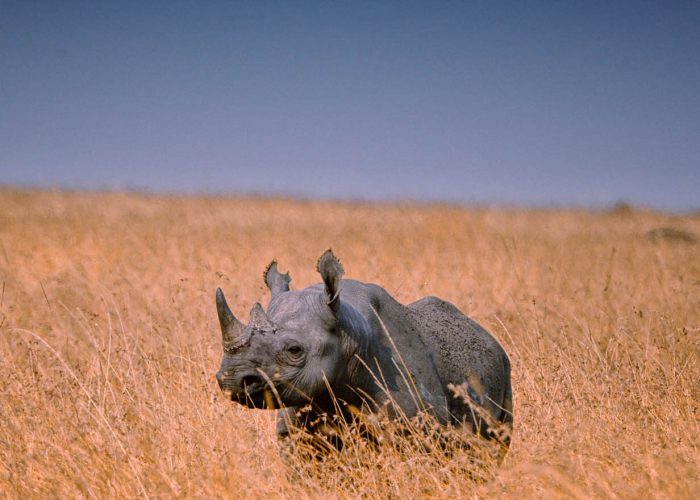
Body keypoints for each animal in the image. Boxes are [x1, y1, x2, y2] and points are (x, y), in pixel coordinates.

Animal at [215, 250, 513, 451]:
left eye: (294, 350)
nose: (231, 379)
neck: (348, 332)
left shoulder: (417, 428)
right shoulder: (295, 429)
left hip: (505, 371)